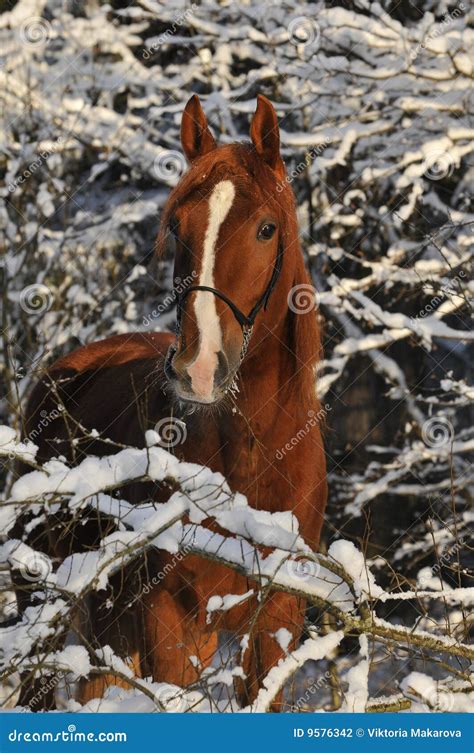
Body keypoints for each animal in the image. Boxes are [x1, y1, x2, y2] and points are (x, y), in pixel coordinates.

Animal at [21, 95, 326, 712]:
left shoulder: (275, 623)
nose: (197, 368)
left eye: (266, 229)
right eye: (178, 228)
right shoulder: (173, 625)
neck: (250, 467)